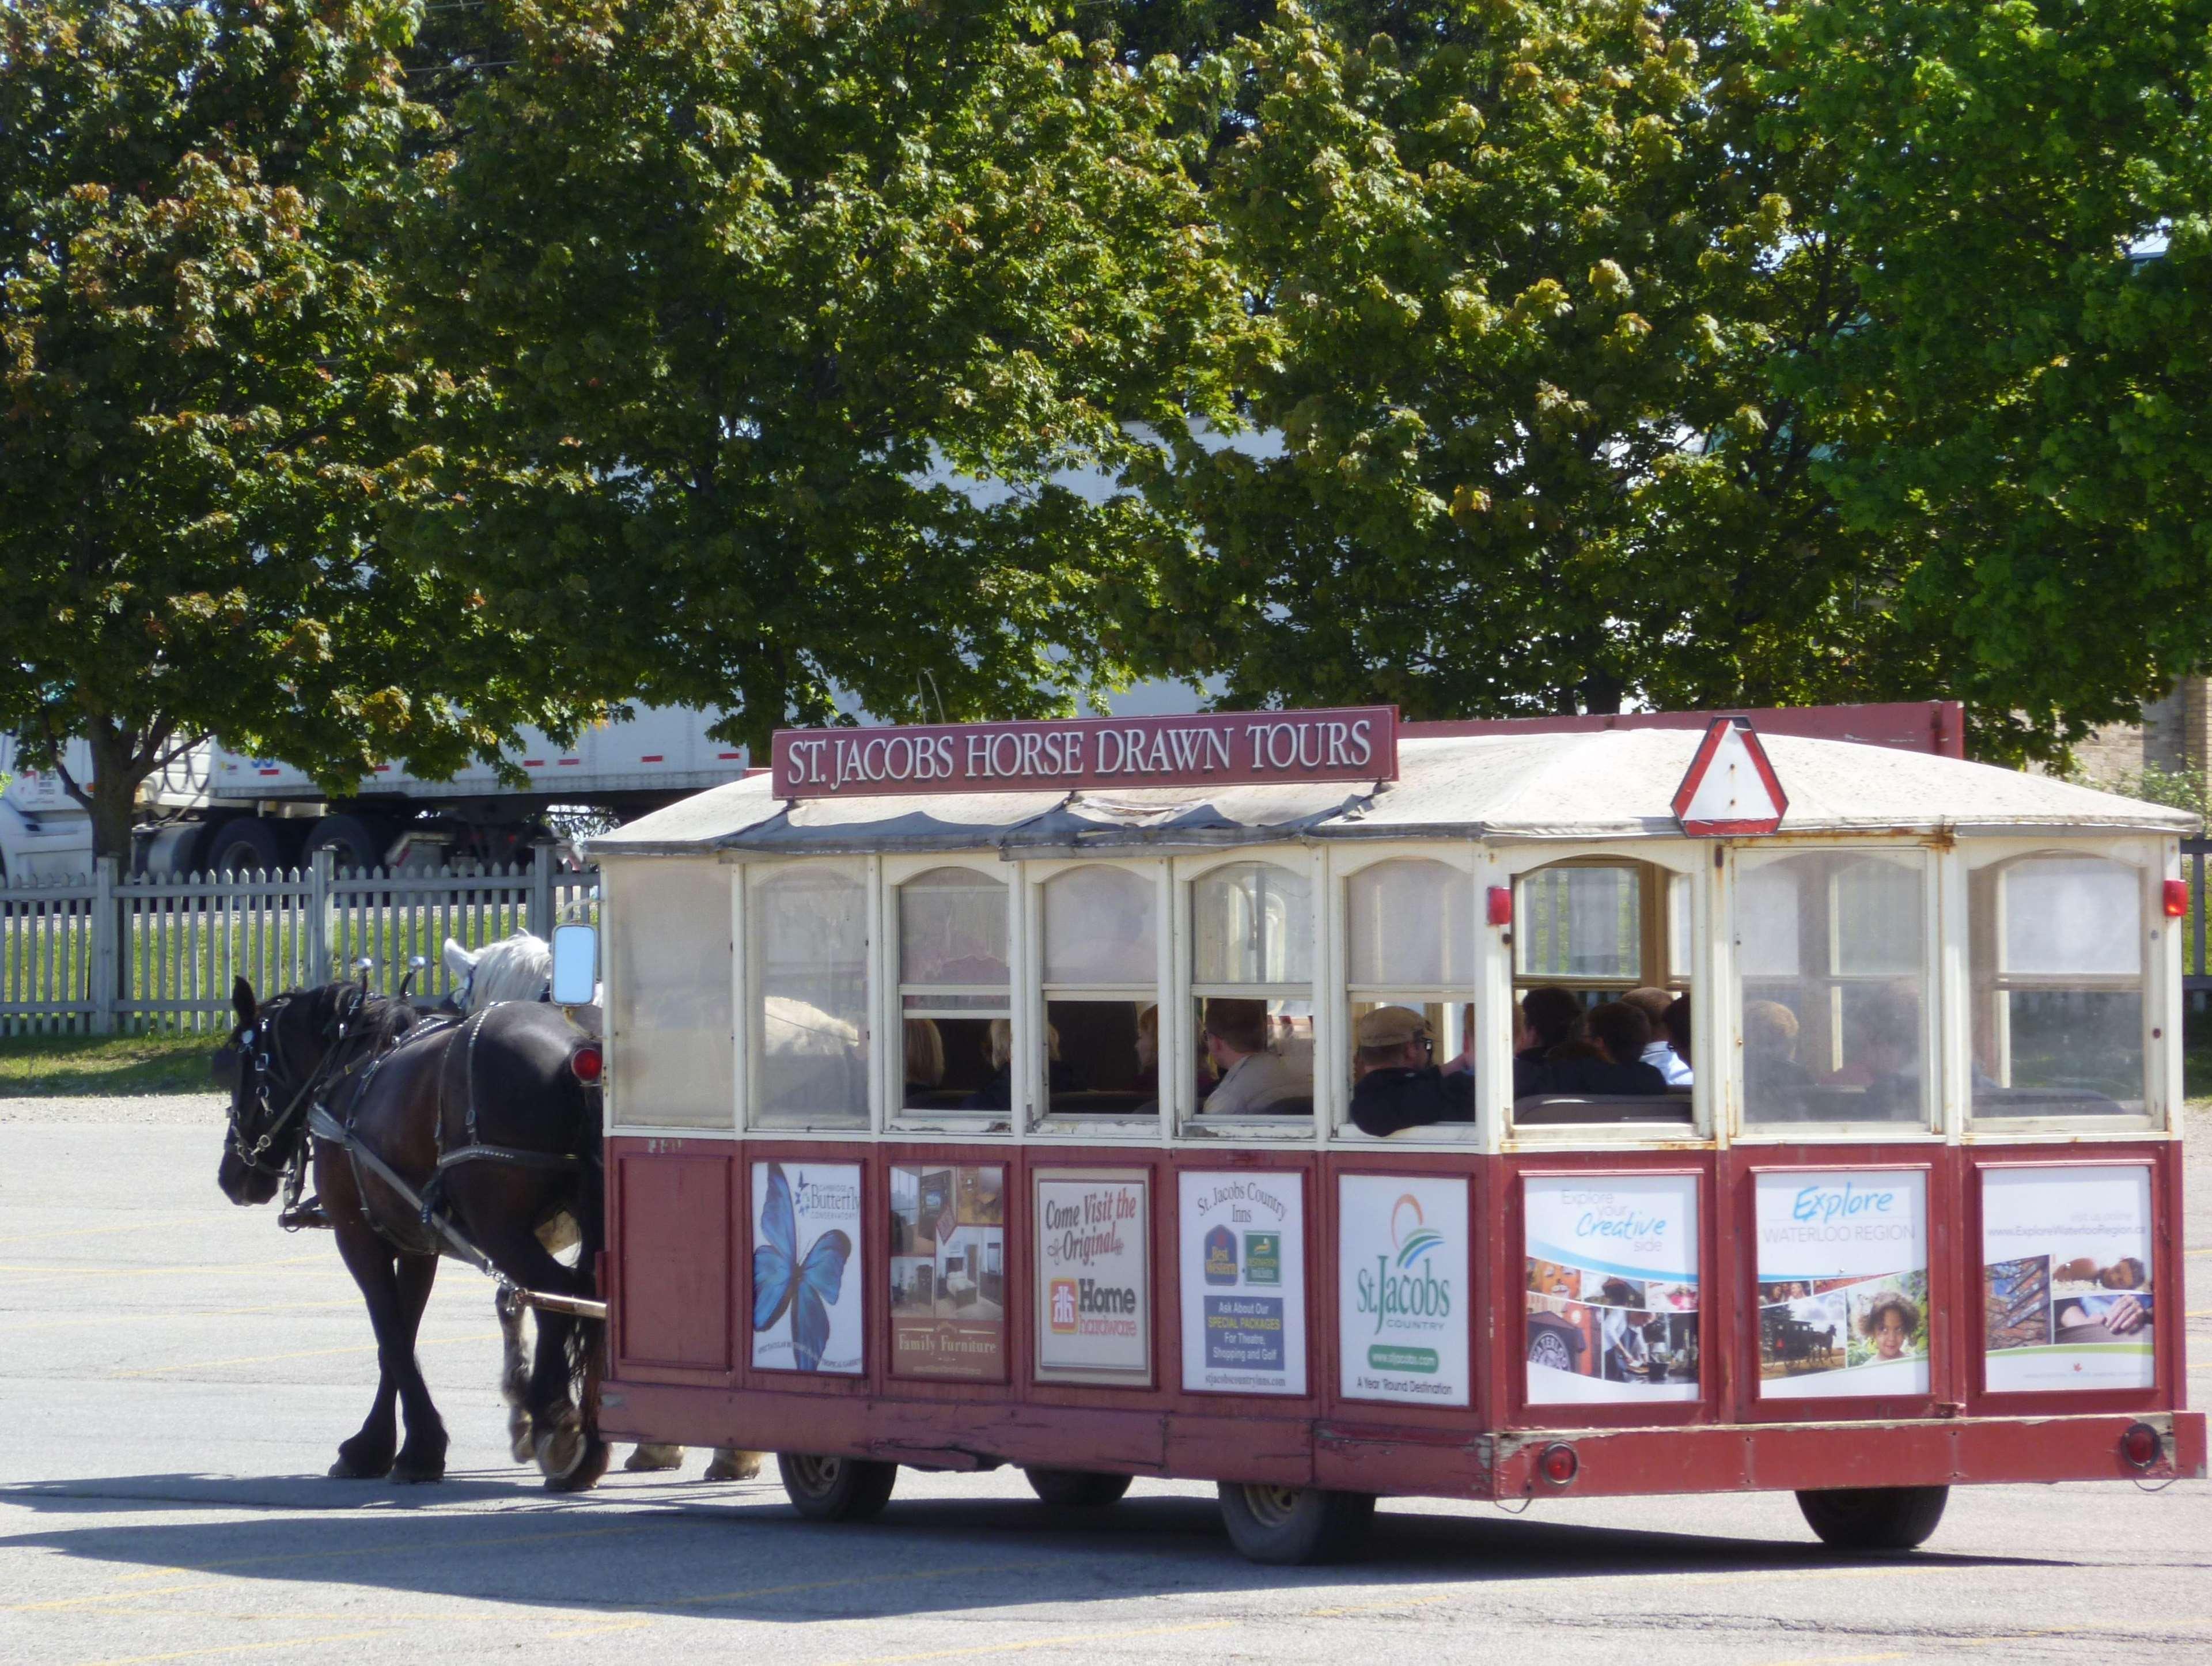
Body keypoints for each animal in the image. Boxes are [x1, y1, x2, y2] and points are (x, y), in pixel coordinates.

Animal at [213, 969, 606, 1486]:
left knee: (560, 1298)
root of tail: (575, 1050)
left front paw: (402, 1448)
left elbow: (392, 1337)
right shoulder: (419, 1243)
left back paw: (555, 1422)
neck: (348, 1065)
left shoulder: (357, 1236)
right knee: (602, 1299)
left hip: (502, 1230)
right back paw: (595, 1442)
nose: (231, 1175)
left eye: (244, 1069)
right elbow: (402, 1336)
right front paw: (391, 1444)